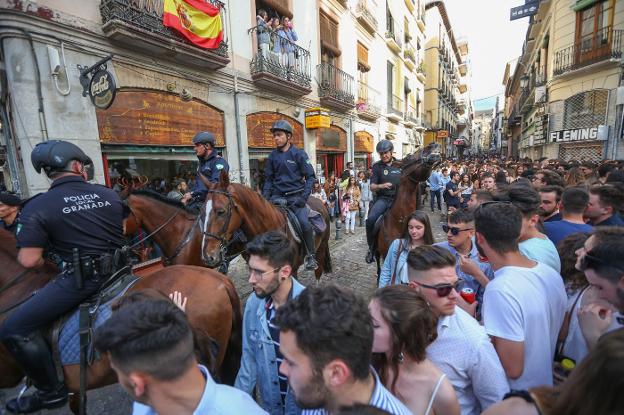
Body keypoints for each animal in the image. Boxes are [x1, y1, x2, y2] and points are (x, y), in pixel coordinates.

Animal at [201, 171, 334, 282]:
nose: (207, 256)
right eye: (202, 212)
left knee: (318, 274)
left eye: (221, 211)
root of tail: (320, 202)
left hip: (321, 248)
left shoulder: (290, 271)